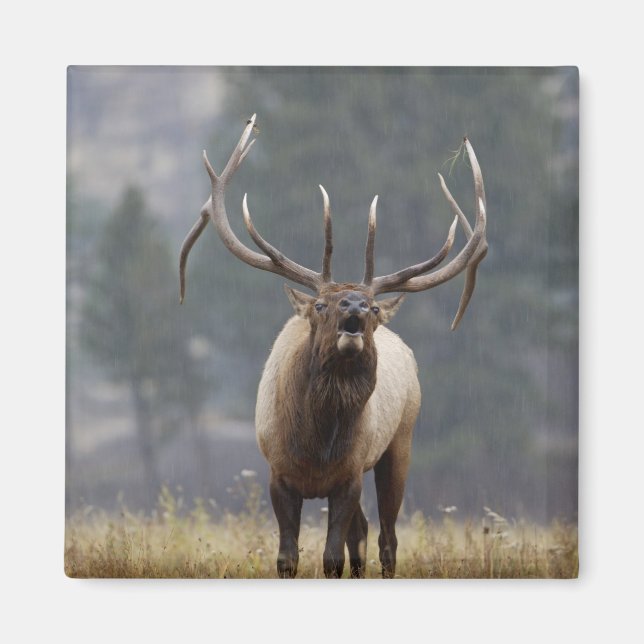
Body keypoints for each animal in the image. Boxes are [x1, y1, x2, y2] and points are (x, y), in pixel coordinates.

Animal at [179, 114, 487, 578]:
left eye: (374, 308)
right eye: (320, 304)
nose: (355, 304)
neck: (316, 447)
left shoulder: (349, 476)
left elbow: (331, 558)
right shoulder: (278, 474)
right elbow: (288, 557)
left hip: (401, 442)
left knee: (386, 537)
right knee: (362, 534)